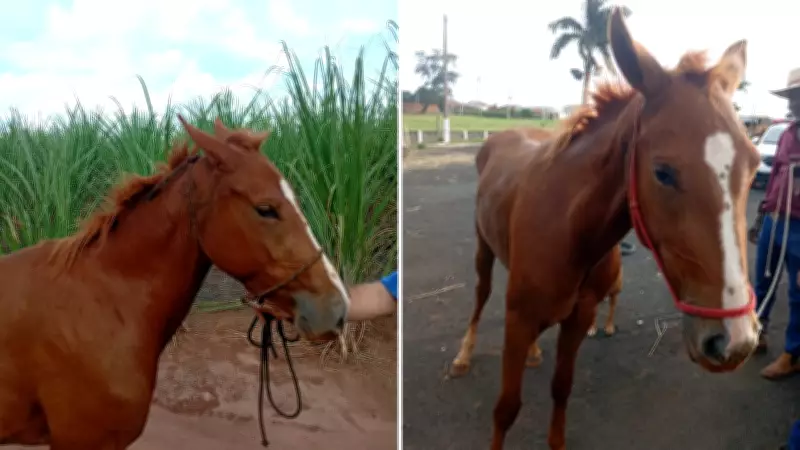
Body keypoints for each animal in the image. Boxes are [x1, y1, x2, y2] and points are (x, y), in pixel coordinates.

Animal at [449, 9, 760, 449]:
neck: (570, 231)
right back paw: (463, 354)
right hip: (483, 250)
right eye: (662, 172)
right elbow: (506, 408)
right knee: (480, 295)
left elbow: (562, 388)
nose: (735, 341)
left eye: (753, 163)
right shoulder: (518, 319)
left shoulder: (580, 318)